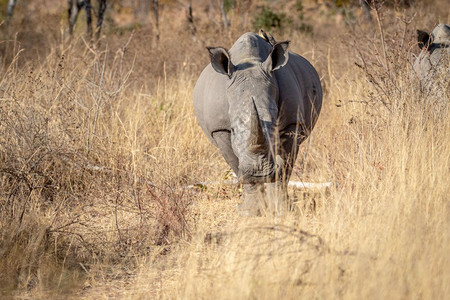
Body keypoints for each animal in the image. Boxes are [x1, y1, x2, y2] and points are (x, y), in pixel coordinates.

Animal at [193, 31, 324, 216]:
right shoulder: (220, 129)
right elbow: (236, 165)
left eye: (275, 125)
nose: (258, 173)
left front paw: (282, 210)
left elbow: (284, 167)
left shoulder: (292, 123)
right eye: (233, 130)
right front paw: (249, 212)